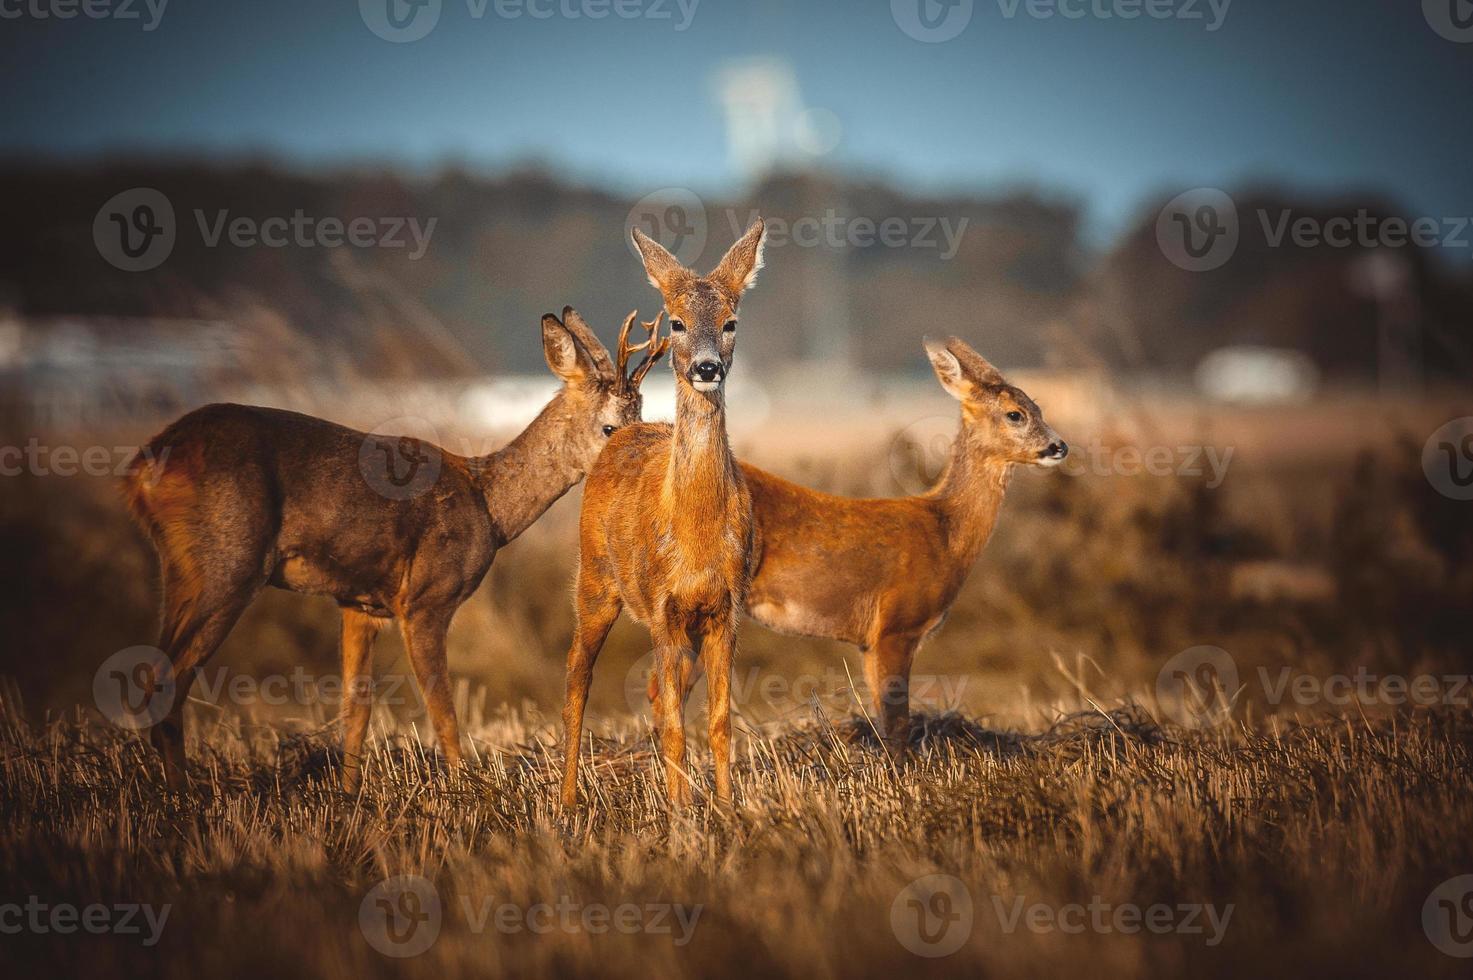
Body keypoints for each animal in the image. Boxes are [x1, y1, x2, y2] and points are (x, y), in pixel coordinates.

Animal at [125, 309, 668, 789]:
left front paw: (348, 796)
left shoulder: (358, 602)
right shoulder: (426, 598)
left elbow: (356, 709)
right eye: (609, 428)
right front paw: (464, 792)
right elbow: (442, 709)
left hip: (183, 566)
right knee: (166, 680)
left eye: (644, 415)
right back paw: (182, 799)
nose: (643, 462)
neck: (488, 504)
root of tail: (146, 464)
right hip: (229, 560)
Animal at [559, 218, 771, 807]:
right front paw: (680, 817)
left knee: (654, 693)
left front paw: (725, 808)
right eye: (675, 322)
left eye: (731, 322)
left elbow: (718, 722)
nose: (707, 367)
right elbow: (678, 725)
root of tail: (624, 431)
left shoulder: (726, 609)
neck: (694, 532)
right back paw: (566, 801)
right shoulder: (662, 608)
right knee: (577, 678)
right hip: (594, 581)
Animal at [651, 338, 1066, 754]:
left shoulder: (872, 641)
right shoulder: (895, 625)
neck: (944, 533)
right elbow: (896, 724)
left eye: (1038, 407)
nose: (1058, 446)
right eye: (1015, 414)